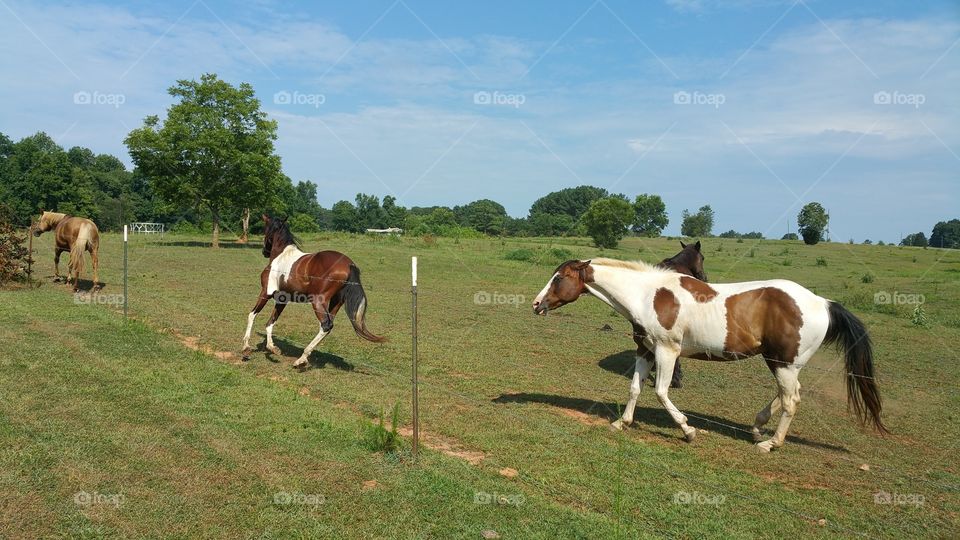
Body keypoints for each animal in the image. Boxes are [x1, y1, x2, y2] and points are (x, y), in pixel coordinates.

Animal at [241, 215, 386, 368]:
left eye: (265, 230)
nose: (264, 252)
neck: (281, 255)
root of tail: (349, 264)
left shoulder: (265, 293)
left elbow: (252, 315)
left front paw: (246, 347)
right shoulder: (282, 299)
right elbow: (270, 322)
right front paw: (272, 348)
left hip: (317, 301)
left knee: (326, 325)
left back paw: (301, 359)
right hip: (335, 302)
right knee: (328, 325)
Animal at [532, 258, 887, 452]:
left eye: (558, 277)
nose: (536, 304)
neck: (646, 295)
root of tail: (822, 303)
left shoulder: (668, 351)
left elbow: (661, 391)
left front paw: (688, 431)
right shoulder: (645, 350)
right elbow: (634, 388)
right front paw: (623, 422)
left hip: (783, 363)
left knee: (791, 400)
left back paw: (770, 443)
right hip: (781, 363)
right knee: (788, 395)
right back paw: (757, 427)